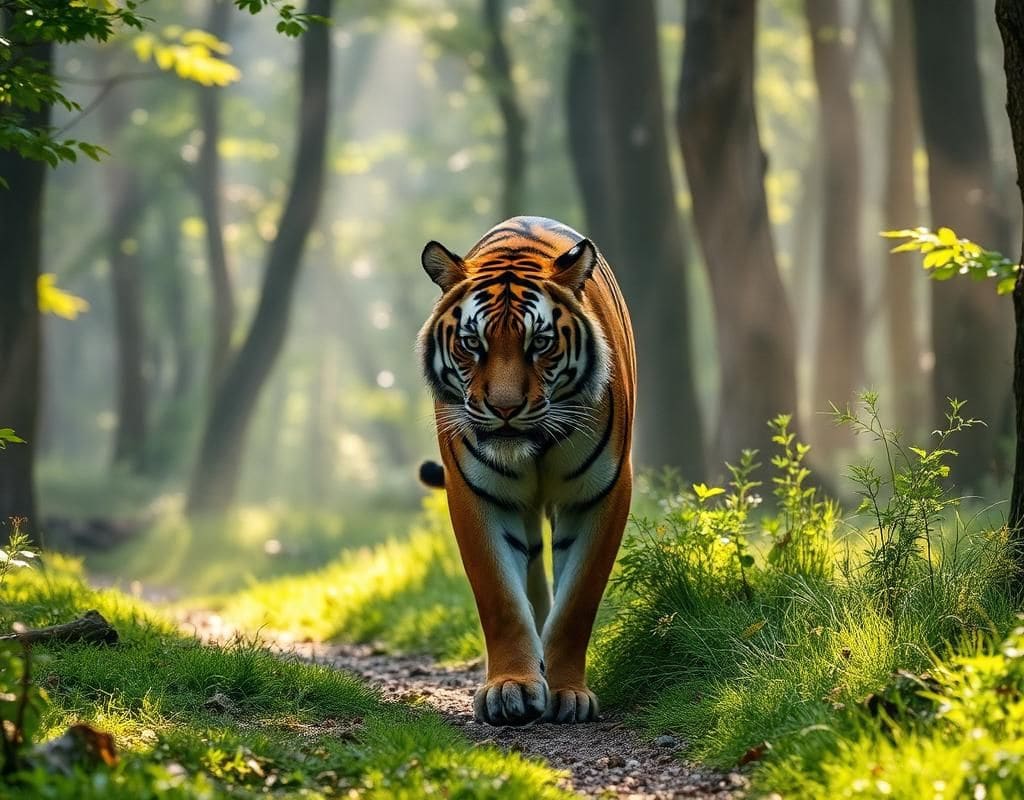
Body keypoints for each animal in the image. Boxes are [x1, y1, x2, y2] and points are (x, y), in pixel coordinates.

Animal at [416, 216, 636, 725]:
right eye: (472, 344)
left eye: (540, 343)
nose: (504, 408)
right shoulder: (477, 494)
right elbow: (502, 599)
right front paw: (512, 686)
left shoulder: (602, 493)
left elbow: (577, 604)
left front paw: (569, 693)